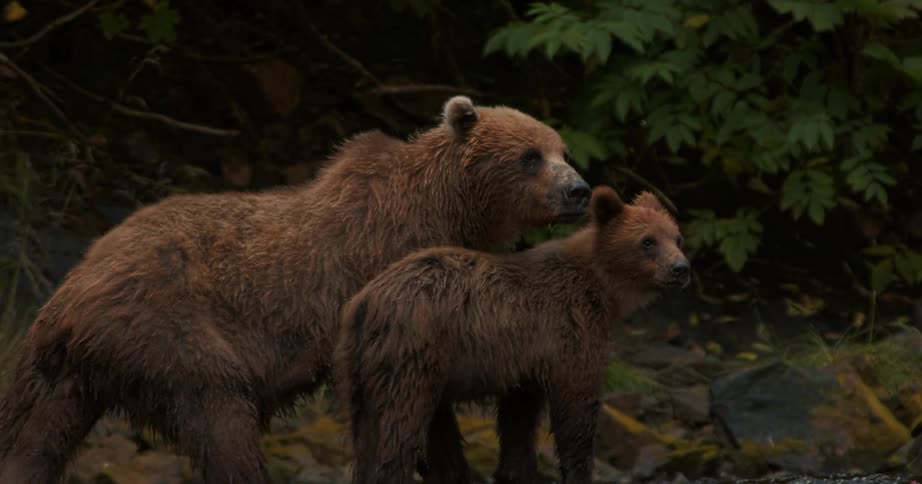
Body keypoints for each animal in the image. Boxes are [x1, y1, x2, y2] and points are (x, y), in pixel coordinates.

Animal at [0, 96, 591, 483]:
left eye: (563, 150)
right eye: (530, 156)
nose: (579, 190)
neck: (447, 211)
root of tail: (69, 296)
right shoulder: (392, 287)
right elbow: (419, 411)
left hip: (57, 373)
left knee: (31, 442)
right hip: (168, 329)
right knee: (223, 418)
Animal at [334, 185, 690, 484]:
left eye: (676, 237)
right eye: (647, 241)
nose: (681, 269)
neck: (603, 289)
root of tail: (365, 301)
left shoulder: (528, 362)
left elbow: (518, 422)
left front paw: (514, 471)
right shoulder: (571, 334)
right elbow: (577, 411)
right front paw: (577, 469)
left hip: (362, 367)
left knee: (369, 434)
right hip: (411, 358)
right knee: (400, 429)